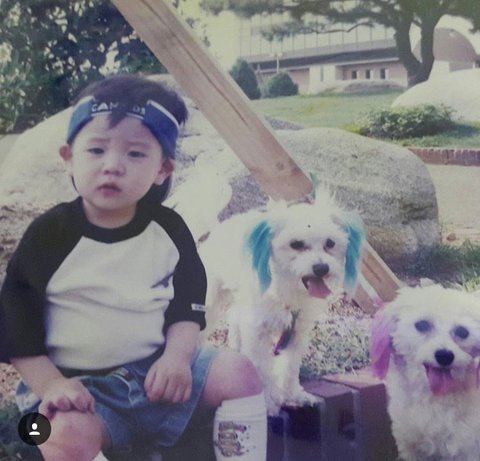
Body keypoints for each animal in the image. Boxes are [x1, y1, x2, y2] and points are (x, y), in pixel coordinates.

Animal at [200, 188, 365, 415]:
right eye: (296, 244)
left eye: (330, 243)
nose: (321, 268)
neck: (287, 288)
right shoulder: (258, 332)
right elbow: (262, 370)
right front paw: (267, 403)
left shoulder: (296, 332)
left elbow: (289, 367)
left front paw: (293, 396)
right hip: (211, 300)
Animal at [370, 285, 480, 460]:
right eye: (422, 325)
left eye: (462, 332)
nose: (444, 355)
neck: (434, 397)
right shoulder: (412, 448)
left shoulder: (469, 449)